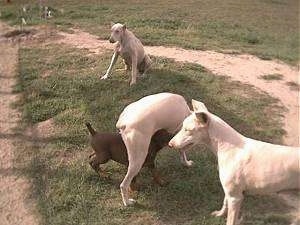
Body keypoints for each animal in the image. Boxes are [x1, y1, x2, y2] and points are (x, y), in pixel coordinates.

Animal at [169, 100, 300, 225]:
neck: (228, 147)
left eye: (188, 130)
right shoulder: (229, 192)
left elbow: (230, 220)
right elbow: (224, 203)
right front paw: (219, 214)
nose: (170, 144)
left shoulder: (236, 197)